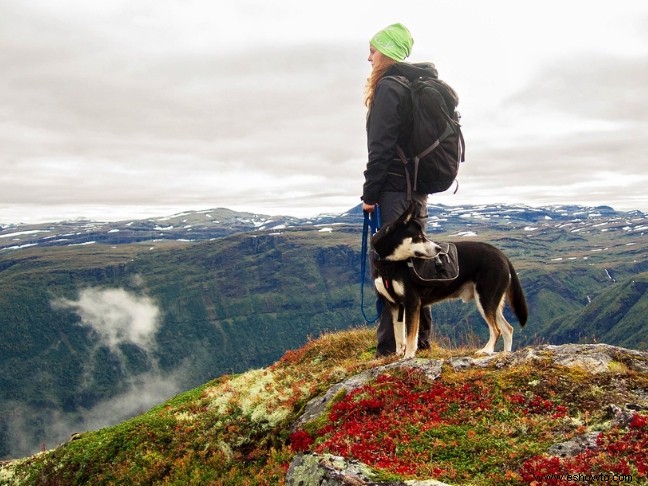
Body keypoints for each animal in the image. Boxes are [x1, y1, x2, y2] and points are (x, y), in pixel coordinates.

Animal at [370, 201, 528, 356]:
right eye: (419, 236)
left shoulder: (412, 302)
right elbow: (399, 336)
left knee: (496, 329)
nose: (438, 249)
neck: (388, 264)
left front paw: (408, 356)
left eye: (423, 235)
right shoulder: (395, 305)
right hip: (492, 301)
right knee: (508, 329)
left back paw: (487, 350)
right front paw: (398, 357)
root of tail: (502, 255)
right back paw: (506, 353)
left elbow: (410, 337)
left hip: (485, 298)